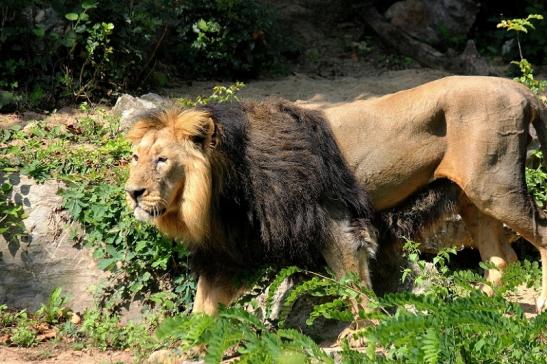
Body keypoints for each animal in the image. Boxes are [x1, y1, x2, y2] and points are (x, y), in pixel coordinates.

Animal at [324, 76, 547, 310]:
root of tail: (518, 88)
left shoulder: (336, 218)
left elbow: (353, 285)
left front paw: (367, 320)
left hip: (495, 189)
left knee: (540, 234)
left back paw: (541, 302)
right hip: (475, 196)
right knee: (501, 258)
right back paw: (474, 305)